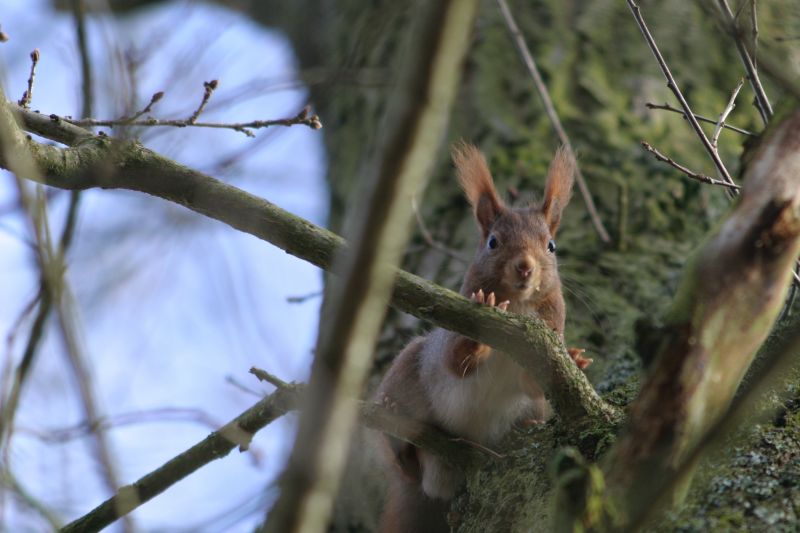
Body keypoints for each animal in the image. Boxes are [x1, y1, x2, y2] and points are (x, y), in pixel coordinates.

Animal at [376, 143, 588, 528]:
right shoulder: (450, 337)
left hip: (528, 413)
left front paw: (576, 360)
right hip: (407, 370)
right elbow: (456, 359)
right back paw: (396, 422)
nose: (525, 267)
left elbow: (533, 383)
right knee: (406, 467)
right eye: (493, 242)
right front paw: (485, 311)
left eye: (551, 246)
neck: (517, 309)